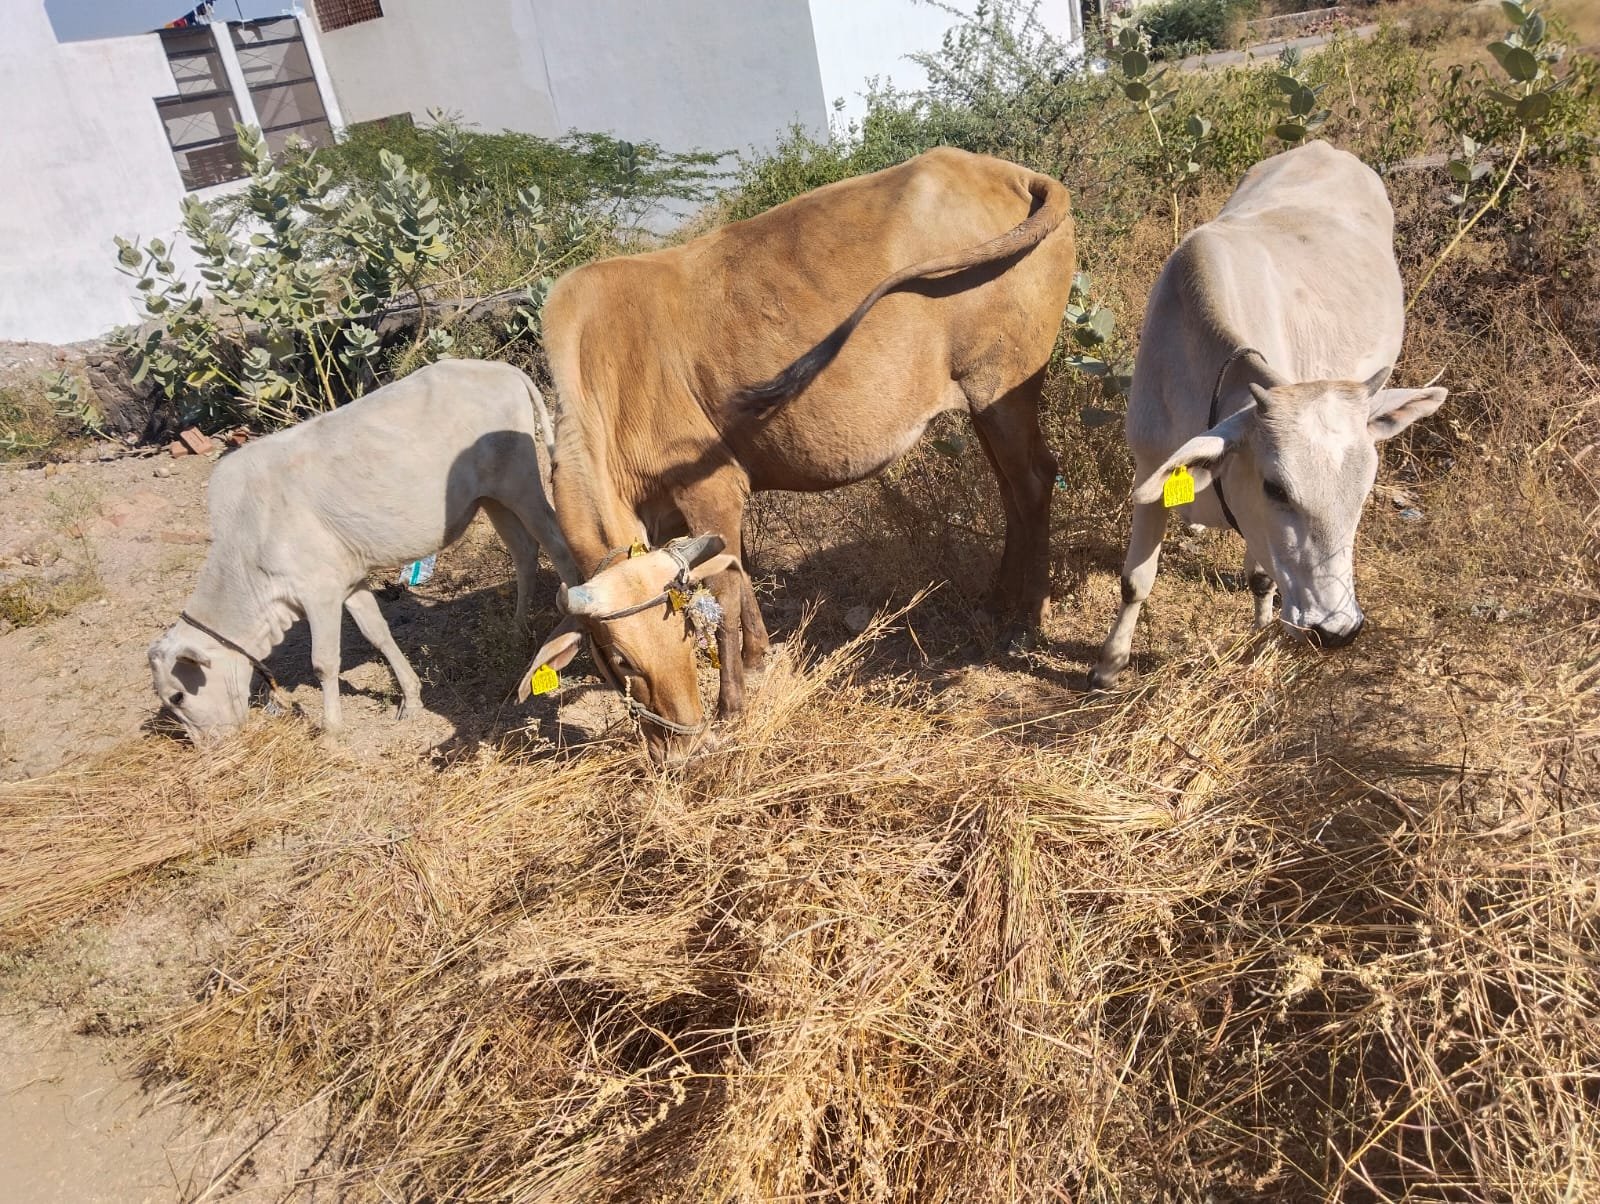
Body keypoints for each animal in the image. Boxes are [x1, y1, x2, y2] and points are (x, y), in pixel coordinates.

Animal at [150, 359, 579, 742]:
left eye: (178, 696)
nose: (210, 746)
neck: (246, 551)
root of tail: (500, 368)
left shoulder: (318, 592)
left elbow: (324, 663)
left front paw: (331, 731)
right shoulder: (350, 582)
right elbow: (378, 634)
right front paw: (411, 699)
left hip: (521, 483)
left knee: (557, 545)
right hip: (491, 497)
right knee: (524, 550)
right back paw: (517, 628)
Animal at [520, 147, 1077, 764]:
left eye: (684, 633)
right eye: (619, 659)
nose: (681, 747)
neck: (605, 372)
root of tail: (1008, 172)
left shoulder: (709, 487)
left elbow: (728, 589)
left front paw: (732, 706)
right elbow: (736, 575)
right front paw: (760, 658)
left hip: (1004, 385)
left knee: (1034, 481)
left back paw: (1028, 617)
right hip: (987, 402)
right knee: (1012, 488)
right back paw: (1001, 600)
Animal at [1088, 141, 1447, 690]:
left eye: (1363, 492)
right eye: (1276, 489)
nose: (1337, 630)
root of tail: (1326, 147)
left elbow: (1260, 576)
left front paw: (1260, 635)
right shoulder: (1149, 466)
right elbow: (1135, 581)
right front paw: (1109, 664)